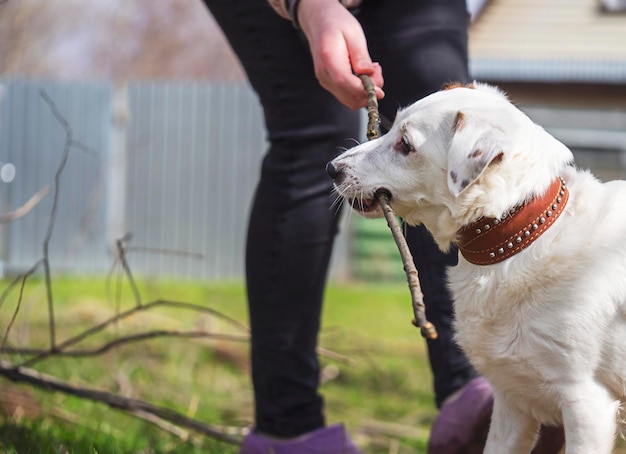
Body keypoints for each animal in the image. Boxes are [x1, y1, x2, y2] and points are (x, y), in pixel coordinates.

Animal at [324, 82, 624, 454]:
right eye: (391, 128)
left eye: (405, 145)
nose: (331, 168)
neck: (521, 240)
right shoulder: (512, 402)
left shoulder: (586, 404)